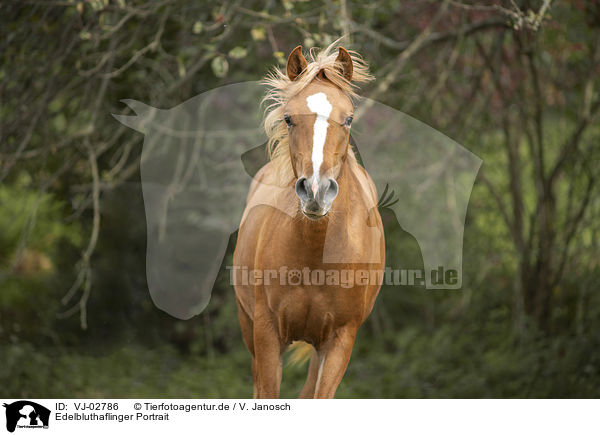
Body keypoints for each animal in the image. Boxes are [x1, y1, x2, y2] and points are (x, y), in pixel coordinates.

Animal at [234, 43, 384, 398]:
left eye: (349, 118)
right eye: (289, 118)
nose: (316, 190)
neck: (315, 257)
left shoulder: (340, 340)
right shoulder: (266, 332)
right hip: (248, 328)